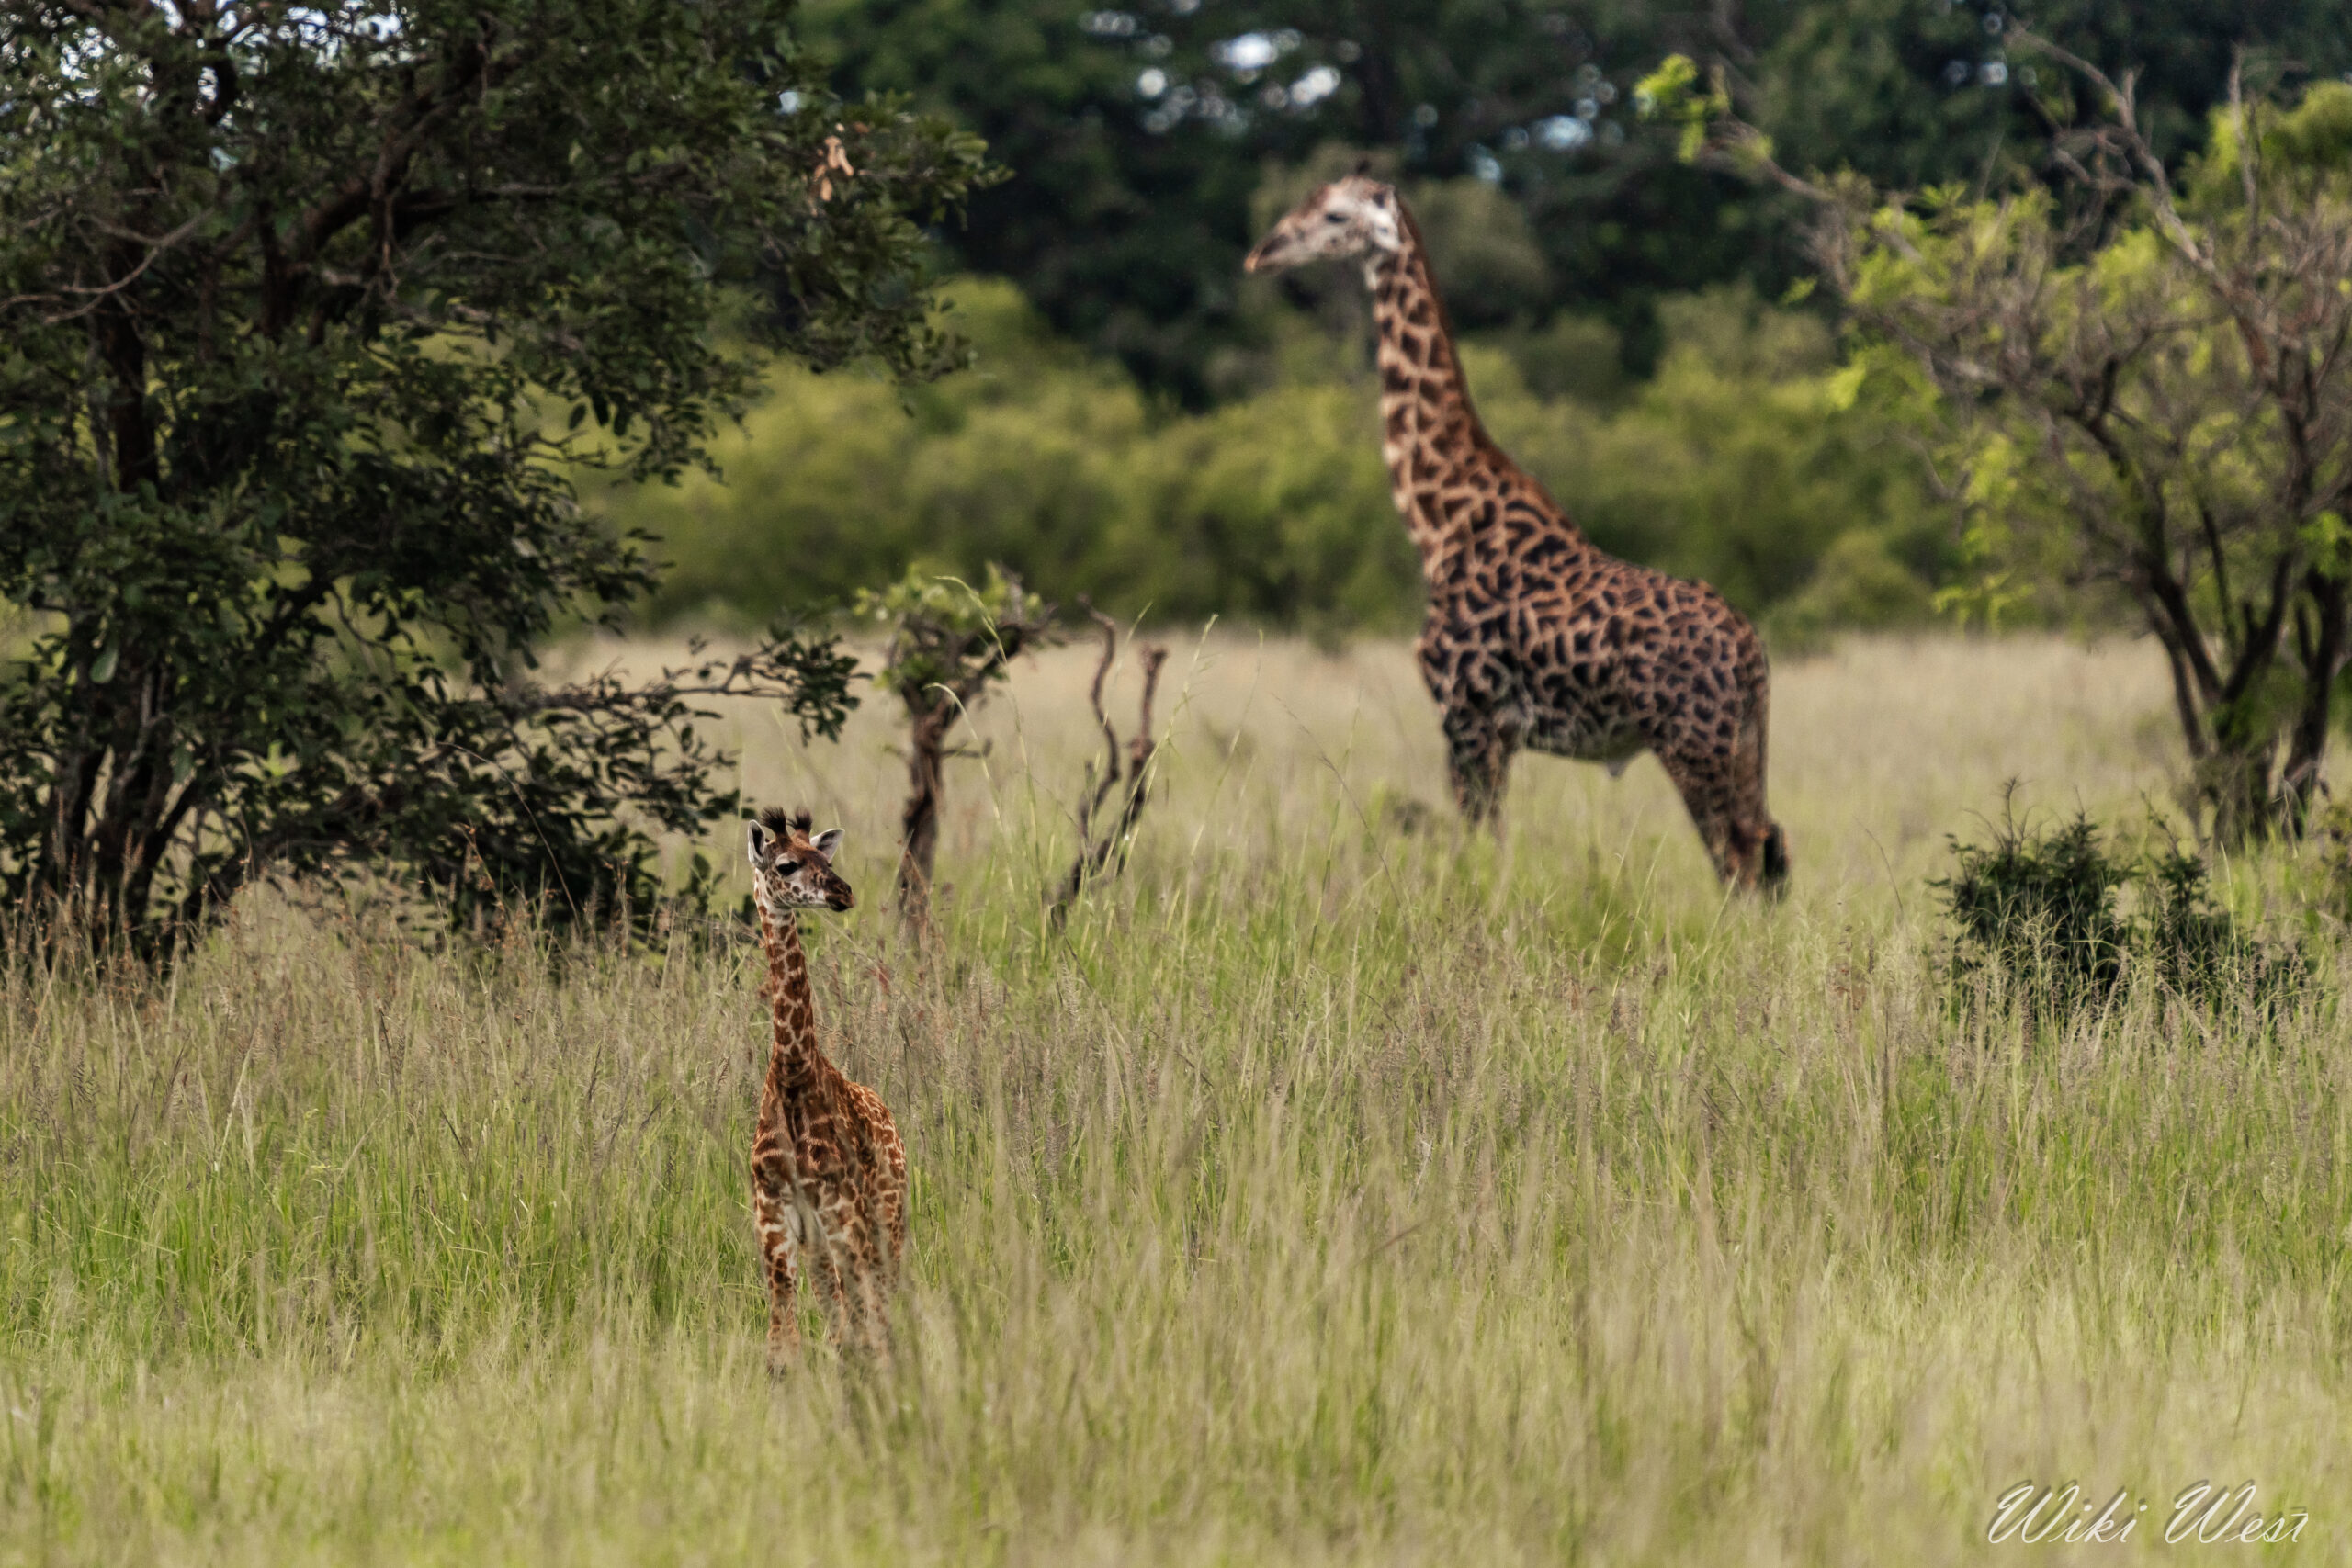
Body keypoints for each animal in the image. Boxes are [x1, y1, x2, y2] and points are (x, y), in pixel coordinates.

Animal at [748, 808, 903, 1363]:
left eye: (826, 858)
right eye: (787, 864)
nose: (844, 892)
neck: (793, 1074)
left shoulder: (840, 1213)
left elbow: (852, 1336)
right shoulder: (774, 1216)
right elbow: (783, 1349)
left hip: (885, 1219)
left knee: (878, 1312)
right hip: (823, 1242)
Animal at [1250, 175, 1778, 888]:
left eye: (1333, 215)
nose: (1263, 253)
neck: (1440, 523)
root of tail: (1749, 650)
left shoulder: (1467, 717)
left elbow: (1480, 851)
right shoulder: (1492, 731)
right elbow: (1488, 848)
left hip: (1694, 746)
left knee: (1739, 863)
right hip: (1743, 744)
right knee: (1767, 850)